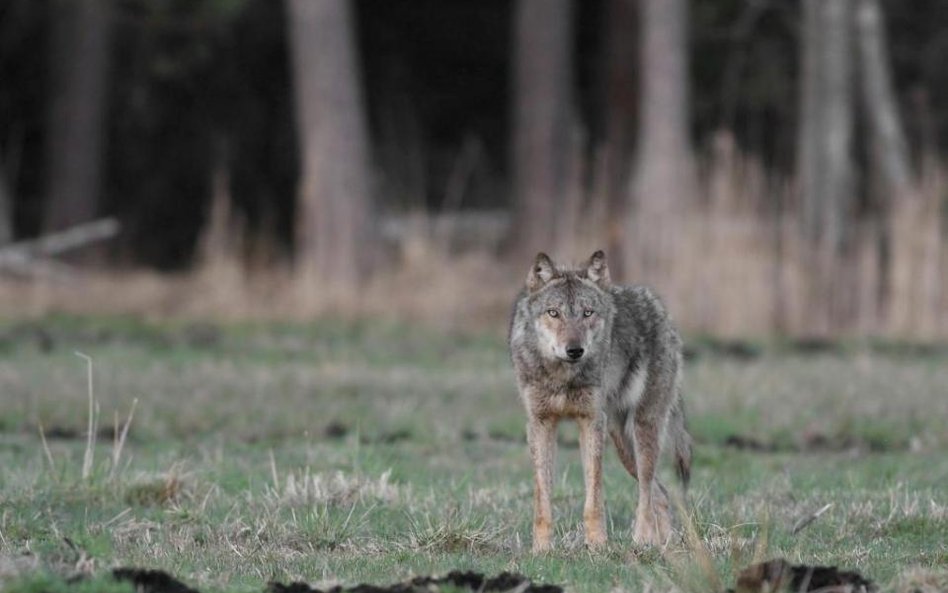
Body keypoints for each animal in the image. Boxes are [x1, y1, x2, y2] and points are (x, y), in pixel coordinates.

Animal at [508, 250, 692, 552]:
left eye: (587, 313)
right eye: (553, 312)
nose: (575, 350)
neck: (563, 376)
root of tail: (660, 308)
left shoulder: (591, 420)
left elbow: (594, 496)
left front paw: (597, 546)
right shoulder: (540, 424)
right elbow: (542, 498)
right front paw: (541, 549)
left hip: (641, 430)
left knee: (647, 491)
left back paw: (641, 541)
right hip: (622, 442)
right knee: (661, 493)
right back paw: (663, 546)